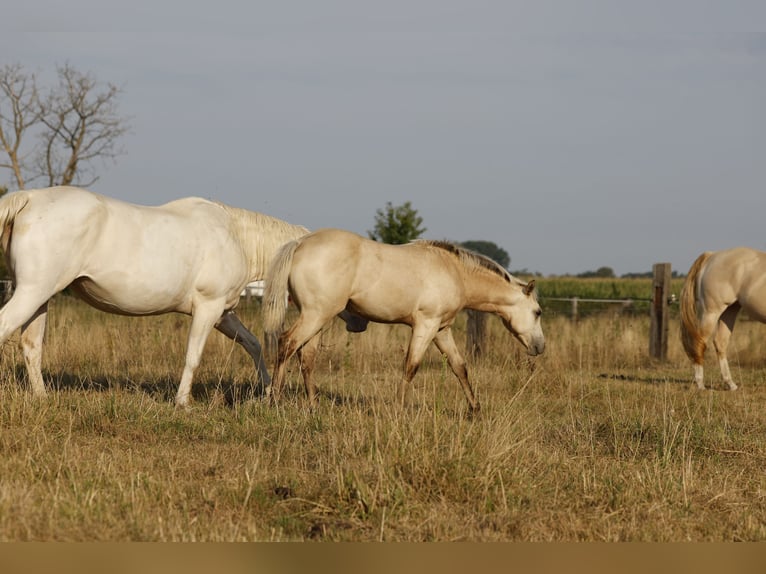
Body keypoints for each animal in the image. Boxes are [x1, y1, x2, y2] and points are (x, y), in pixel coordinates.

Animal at [0, 185, 311, 407]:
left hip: (40, 298)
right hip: (32, 292)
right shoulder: (208, 308)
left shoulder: (223, 313)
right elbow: (193, 355)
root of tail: (29, 198)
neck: (235, 237)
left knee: (31, 346)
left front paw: (267, 392)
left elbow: (252, 344)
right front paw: (182, 402)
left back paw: (42, 397)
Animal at [262, 228, 545, 413]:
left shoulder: (441, 330)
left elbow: (459, 367)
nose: (540, 347)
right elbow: (411, 367)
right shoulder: (426, 326)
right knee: (286, 344)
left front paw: (475, 409)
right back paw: (274, 399)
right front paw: (398, 409)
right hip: (315, 315)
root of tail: (300, 243)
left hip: (319, 318)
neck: (455, 272)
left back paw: (313, 406)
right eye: (538, 312)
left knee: (306, 358)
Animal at [680, 246, 766, 390]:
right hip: (711, 312)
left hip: (730, 310)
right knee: (699, 343)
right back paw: (701, 385)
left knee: (720, 342)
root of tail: (712, 256)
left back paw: (731, 384)